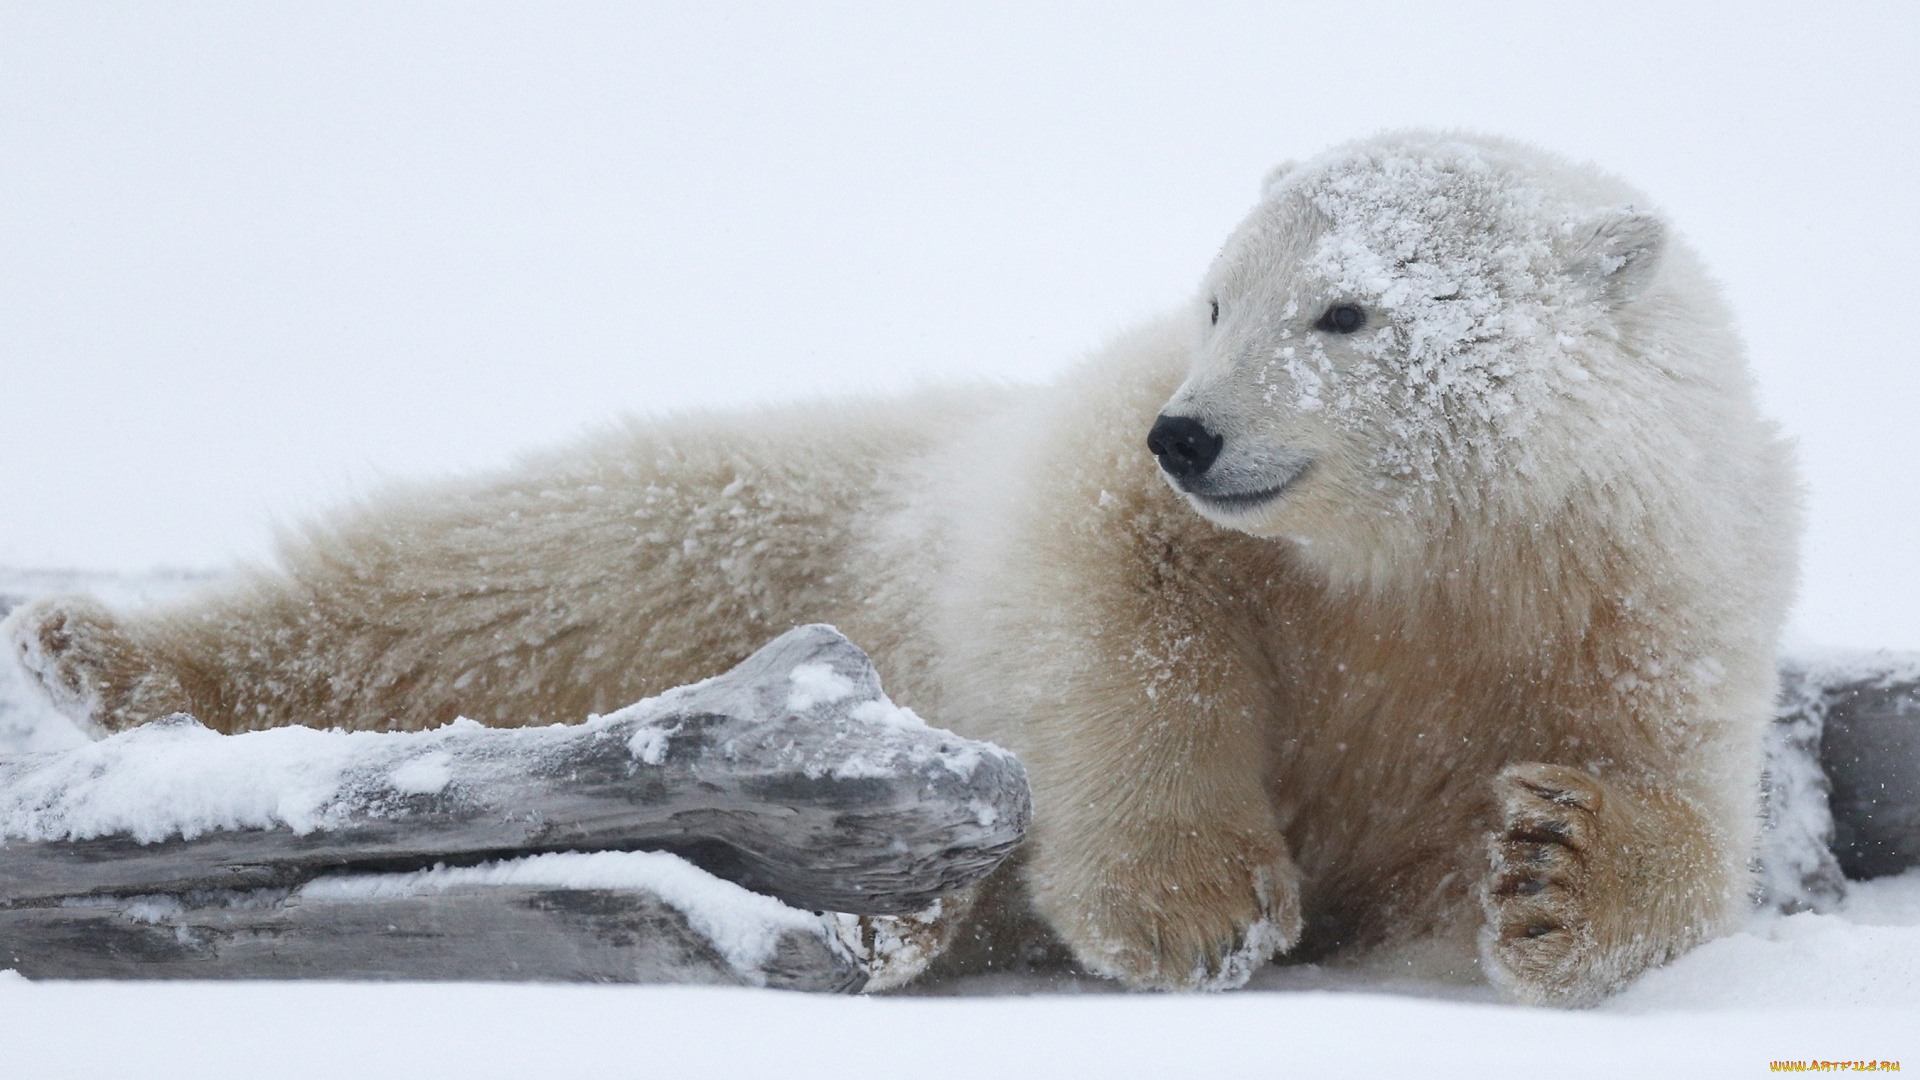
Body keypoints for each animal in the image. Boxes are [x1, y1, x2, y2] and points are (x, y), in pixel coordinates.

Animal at [3, 132, 1797, 999]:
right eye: (1217, 296)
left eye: (1346, 310)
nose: (1193, 432)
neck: (1425, 559)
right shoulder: (1120, 492)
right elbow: (1105, 611)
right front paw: (1196, 908)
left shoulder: (1653, 591)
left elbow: (1674, 806)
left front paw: (1553, 870)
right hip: (759, 523)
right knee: (499, 572)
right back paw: (108, 658)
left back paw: (902, 926)